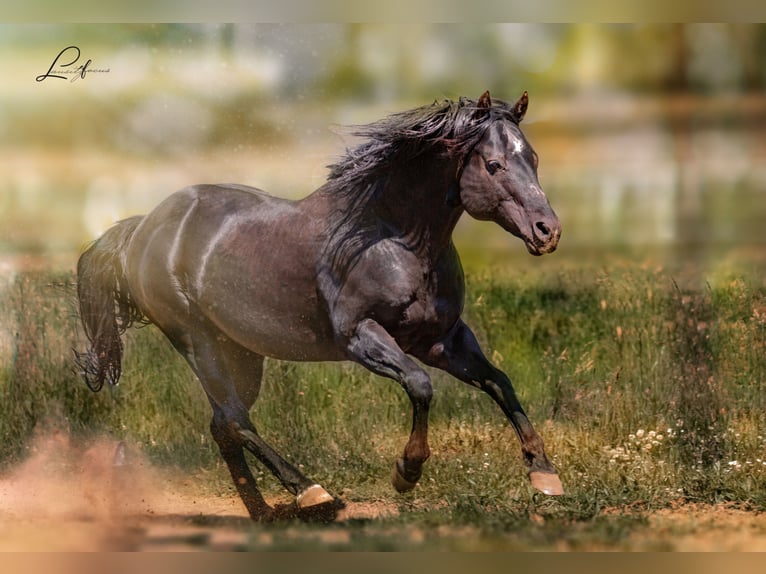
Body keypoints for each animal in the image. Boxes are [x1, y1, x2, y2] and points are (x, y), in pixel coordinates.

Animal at [75, 91, 563, 521]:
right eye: (494, 164)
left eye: (535, 159)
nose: (548, 231)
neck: (393, 241)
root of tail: (143, 227)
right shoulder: (360, 337)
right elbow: (421, 385)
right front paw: (406, 472)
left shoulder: (442, 339)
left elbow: (499, 382)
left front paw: (544, 476)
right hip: (195, 339)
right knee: (234, 419)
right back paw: (312, 493)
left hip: (241, 351)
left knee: (223, 424)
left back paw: (265, 513)